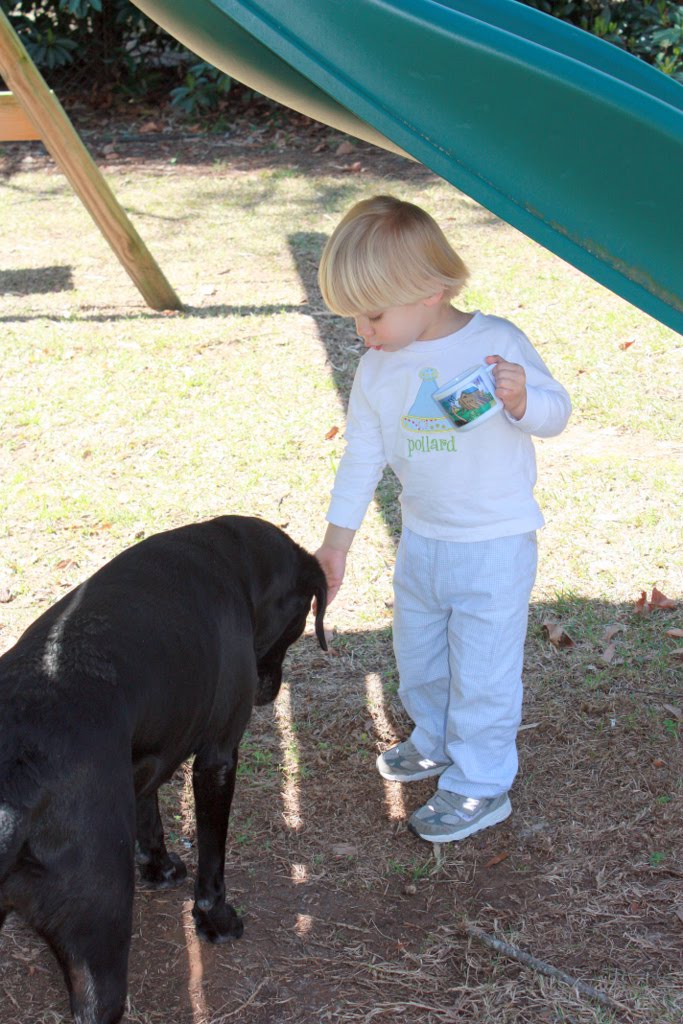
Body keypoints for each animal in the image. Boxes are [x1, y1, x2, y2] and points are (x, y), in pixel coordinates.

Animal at [0, 516, 327, 1024]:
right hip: (100, 935)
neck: (231, 559)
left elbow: (149, 815)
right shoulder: (217, 756)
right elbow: (213, 862)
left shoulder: (146, 752)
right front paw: (215, 920)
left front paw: (159, 868)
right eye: (296, 626)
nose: (268, 692)